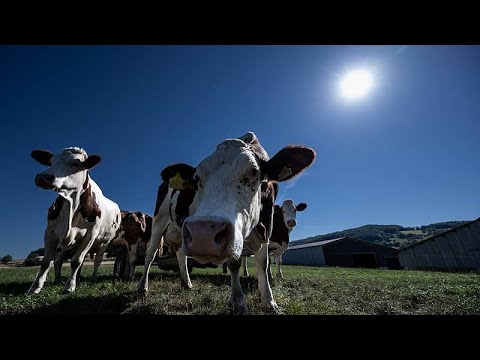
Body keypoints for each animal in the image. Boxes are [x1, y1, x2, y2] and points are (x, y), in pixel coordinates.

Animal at [27, 148, 121, 294]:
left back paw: (92, 279)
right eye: (51, 162)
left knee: (97, 261)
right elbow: (47, 261)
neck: (71, 205)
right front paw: (35, 287)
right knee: (59, 260)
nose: (43, 177)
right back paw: (62, 279)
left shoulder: (91, 234)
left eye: (76, 164)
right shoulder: (50, 232)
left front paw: (70, 286)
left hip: (104, 243)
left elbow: (76, 261)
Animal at [138, 131, 316, 312]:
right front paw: (238, 301)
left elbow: (264, 263)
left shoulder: (265, 229)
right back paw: (142, 287)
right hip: (159, 222)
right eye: (196, 179)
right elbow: (234, 263)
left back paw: (186, 283)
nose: (203, 234)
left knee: (181, 254)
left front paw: (269, 301)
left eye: (254, 172)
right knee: (150, 253)